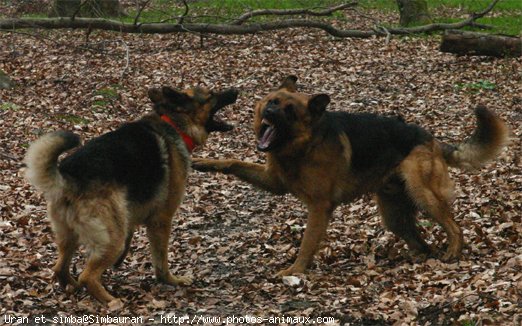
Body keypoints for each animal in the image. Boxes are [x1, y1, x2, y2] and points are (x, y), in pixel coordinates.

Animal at [24, 84, 236, 304]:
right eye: (211, 95)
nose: (235, 91)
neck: (175, 124)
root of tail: (68, 176)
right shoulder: (161, 220)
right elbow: (161, 259)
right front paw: (171, 280)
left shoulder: (131, 213)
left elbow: (132, 235)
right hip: (112, 237)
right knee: (87, 276)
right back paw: (112, 302)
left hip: (71, 235)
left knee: (60, 268)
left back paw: (74, 288)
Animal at [193, 77, 506, 278]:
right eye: (273, 102)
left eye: (289, 111)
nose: (269, 111)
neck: (303, 146)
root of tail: (431, 139)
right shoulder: (275, 182)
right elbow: (233, 162)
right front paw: (205, 162)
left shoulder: (319, 208)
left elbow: (307, 242)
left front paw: (296, 271)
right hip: (394, 215)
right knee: (420, 240)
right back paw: (417, 259)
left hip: (424, 194)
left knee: (454, 225)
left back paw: (453, 252)